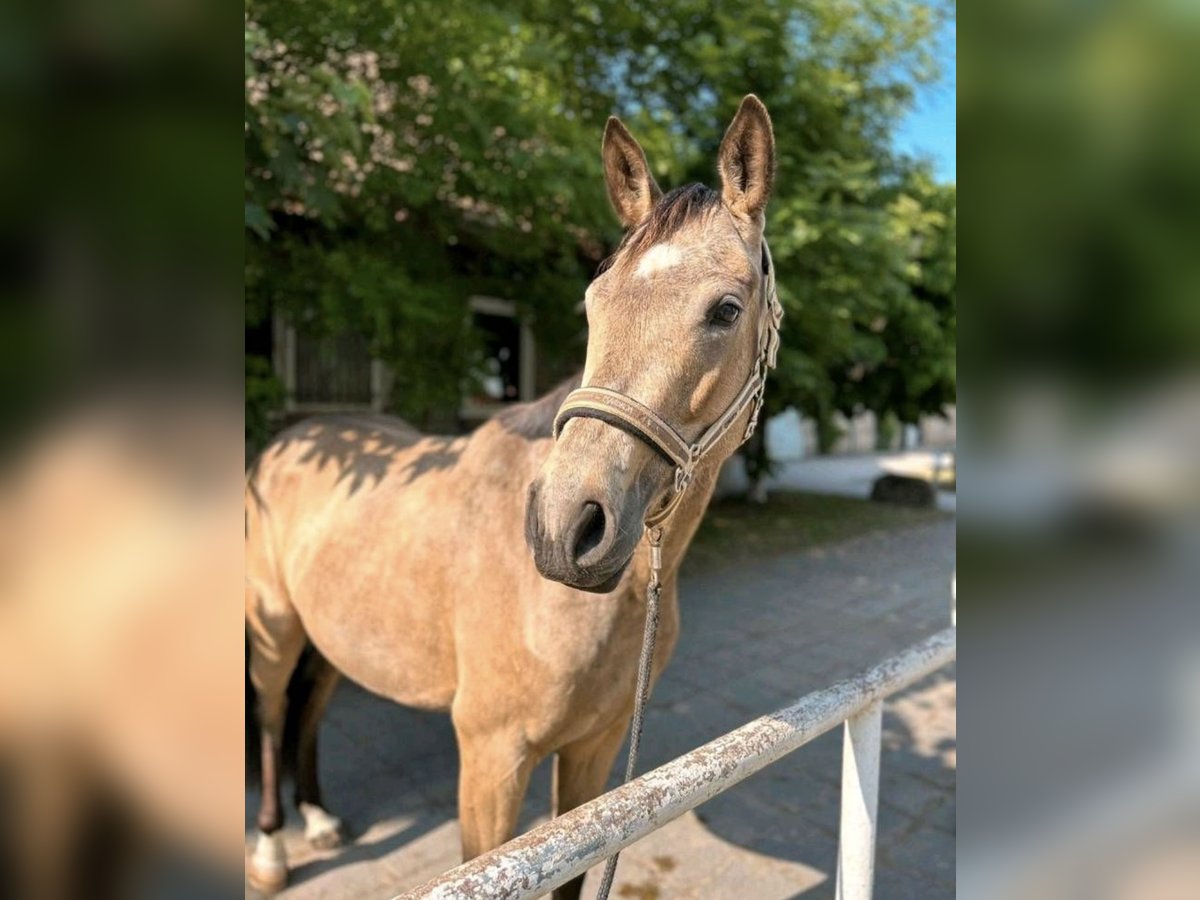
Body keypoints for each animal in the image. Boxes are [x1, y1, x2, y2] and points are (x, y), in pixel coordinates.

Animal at [248, 95, 782, 897]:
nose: (565, 528)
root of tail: (292, 442)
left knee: (308, 711)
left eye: (725, 309)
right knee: (274, 717)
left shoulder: (595, 750)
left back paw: (318, 818)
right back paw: (271, 850)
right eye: (593, 304)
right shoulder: (492, 762)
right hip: (274, 630)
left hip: (332, 635)